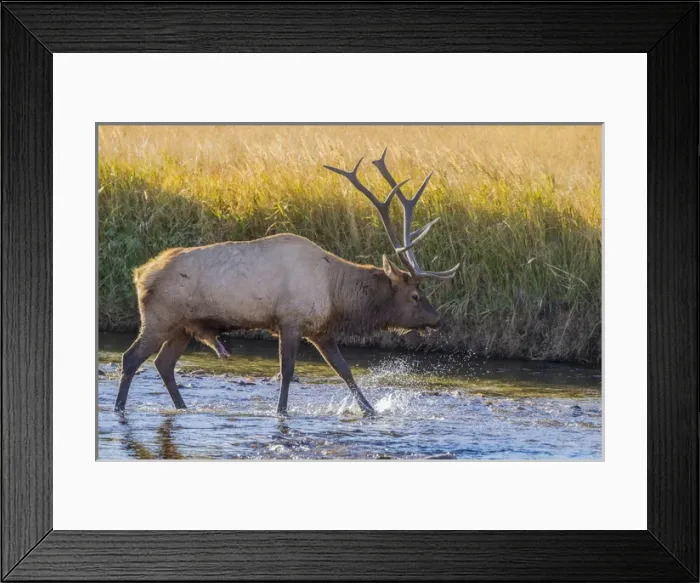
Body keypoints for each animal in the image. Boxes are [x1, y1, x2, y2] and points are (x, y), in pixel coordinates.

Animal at [114, 148, 460, 417]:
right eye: (415, 295)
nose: (438, 320)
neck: (336, 294)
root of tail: (140, 274)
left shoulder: (320, 330)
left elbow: (344, 369)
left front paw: (370, 410)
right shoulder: (290, 321)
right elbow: (287, 371)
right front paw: (281, 412)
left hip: (184, 326)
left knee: (163, 364)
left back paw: (182, 407)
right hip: (160, 317)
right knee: (131, 358)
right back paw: (120, 408)